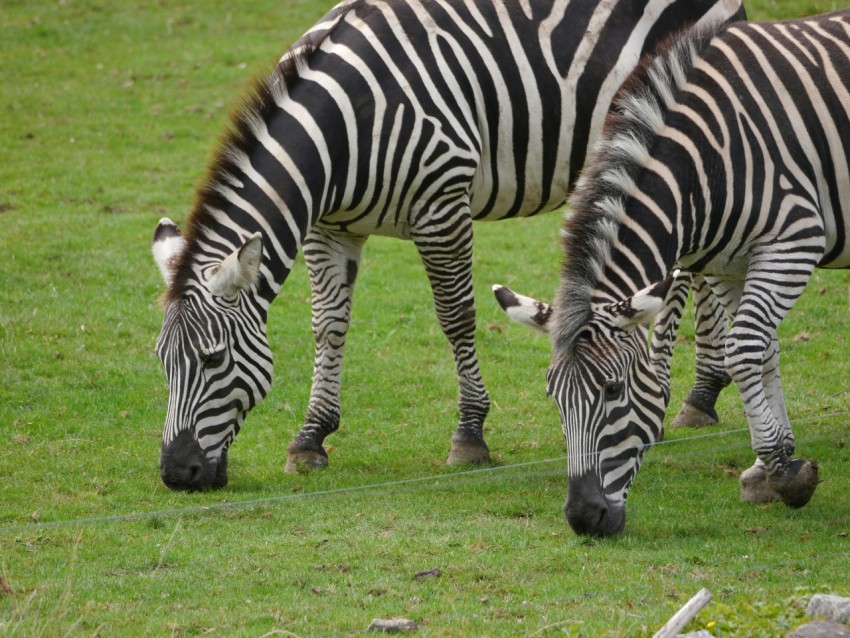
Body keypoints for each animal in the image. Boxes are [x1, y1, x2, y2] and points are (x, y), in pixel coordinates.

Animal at [150, 0, 746, 491]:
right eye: (162, 361)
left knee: (689, 272)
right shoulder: (331, 226)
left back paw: (678, 397)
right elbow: (328, 325)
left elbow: (456, 316)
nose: (177, 474)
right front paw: (311, 437)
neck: (346, 128)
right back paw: (702, 394)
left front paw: (470, 434)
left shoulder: (442, 202)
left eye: (213, 358)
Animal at [494, 8, 849, 536]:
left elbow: (743, 348)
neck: (706, 165)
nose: (583, 518)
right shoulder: (727, 266)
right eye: (552, 397)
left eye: (613, 389)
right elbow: (763, 350)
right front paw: (772, 464)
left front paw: (783, 474)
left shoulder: (793, 241)